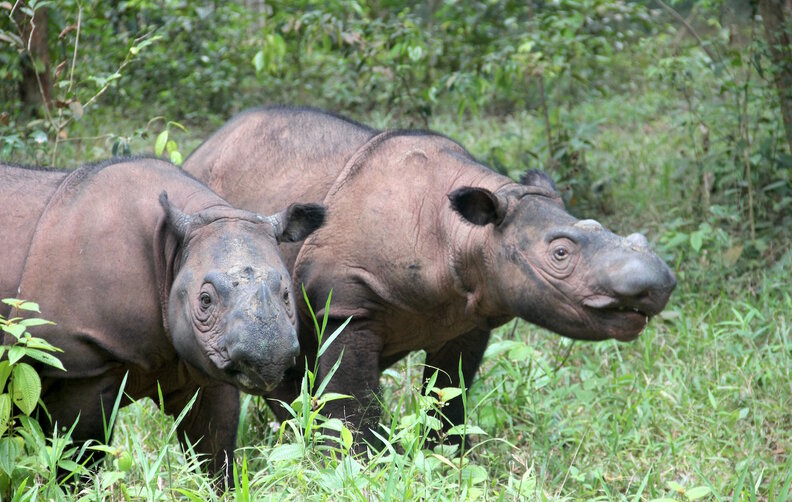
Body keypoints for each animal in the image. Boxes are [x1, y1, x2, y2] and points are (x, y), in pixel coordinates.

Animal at [0, 158, 325, 479]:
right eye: (205, 300)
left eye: (286, 294)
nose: (267, 360)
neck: (173, 252)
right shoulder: (80, 363)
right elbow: (77, 458)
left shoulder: (204, 363)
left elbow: (215, 452)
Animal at [183, 106, 677, 446]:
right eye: (560, 253)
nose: (658, 286)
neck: (465, 233)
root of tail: (198, 151)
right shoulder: (344, 304)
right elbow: (354, 406)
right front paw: (361, 467)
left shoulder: (470, 315)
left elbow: (448, 400)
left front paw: (447, 458)